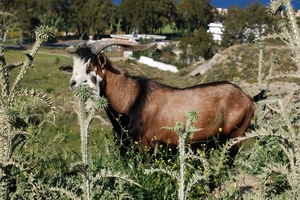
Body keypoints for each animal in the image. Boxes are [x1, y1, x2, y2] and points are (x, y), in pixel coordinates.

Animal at [59, 40, 264, 164]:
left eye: (91, 65)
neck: (133, 99)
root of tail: (248, 99)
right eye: (75, 66)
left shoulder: (145, 146)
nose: (72, 83)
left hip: (234, 139)